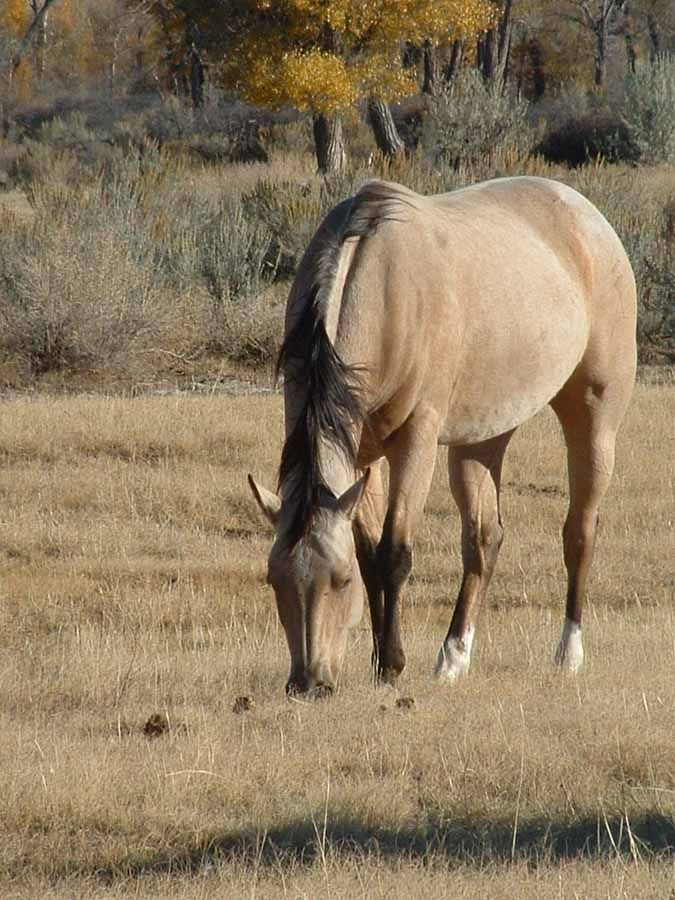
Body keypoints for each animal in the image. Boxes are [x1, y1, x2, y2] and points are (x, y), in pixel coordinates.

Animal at [249, 176, 637, 695]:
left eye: (340, 581)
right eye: (275, 580)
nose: (309, 684)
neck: (383, 287)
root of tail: (585, 212)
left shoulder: (416, 441)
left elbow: (393, 553)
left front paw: (390, 667)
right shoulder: (361, 454)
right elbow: (372, 554)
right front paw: (379, 659)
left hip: (593, 419)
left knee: (579, 532)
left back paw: (568, 653)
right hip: (482, 439)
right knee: (483, 541)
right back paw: (454, 657)